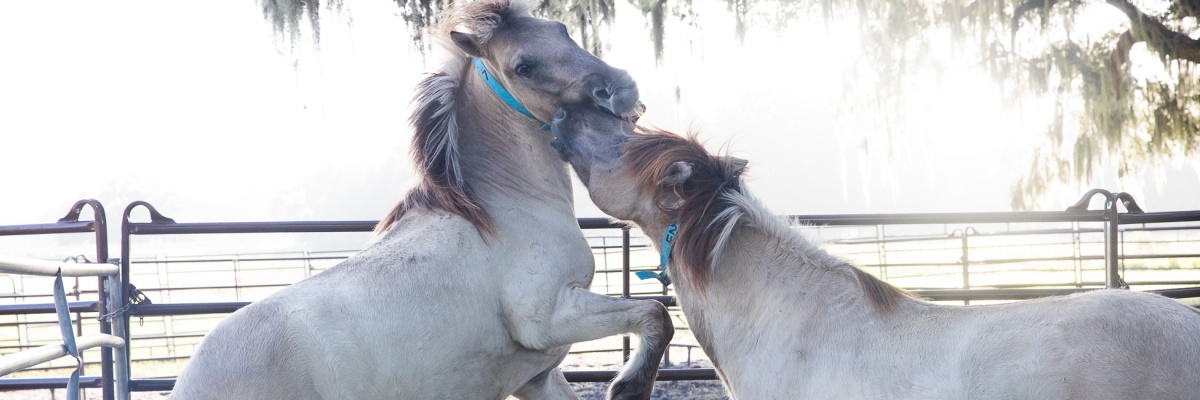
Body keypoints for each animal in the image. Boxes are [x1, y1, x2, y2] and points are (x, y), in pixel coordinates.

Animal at [172, 1, 672, 396]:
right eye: (523, 66)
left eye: (561, 29)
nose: (623, 89)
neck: (504, 211)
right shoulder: (550, 317)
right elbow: (656, 312)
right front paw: (628, 387)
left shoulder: (538, 376)